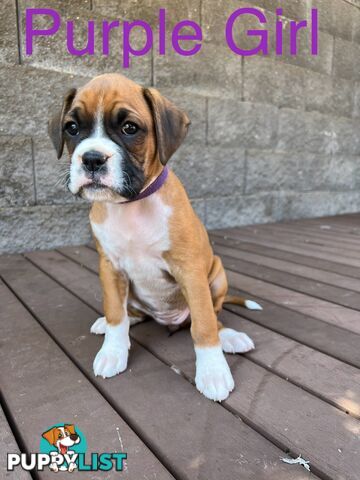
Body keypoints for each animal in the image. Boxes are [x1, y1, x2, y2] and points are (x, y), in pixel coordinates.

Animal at [48, 72, 262, 402]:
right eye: (72, 128)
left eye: (129, 128)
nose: (92, 158)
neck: (130, 205)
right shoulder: (110, 268)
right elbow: (116, 313)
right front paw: (113, 351)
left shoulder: (190, 271)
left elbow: (203, 326)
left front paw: (213, 372)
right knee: (131, 312)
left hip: (216, 274)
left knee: (212, 316)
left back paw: (229, 336)